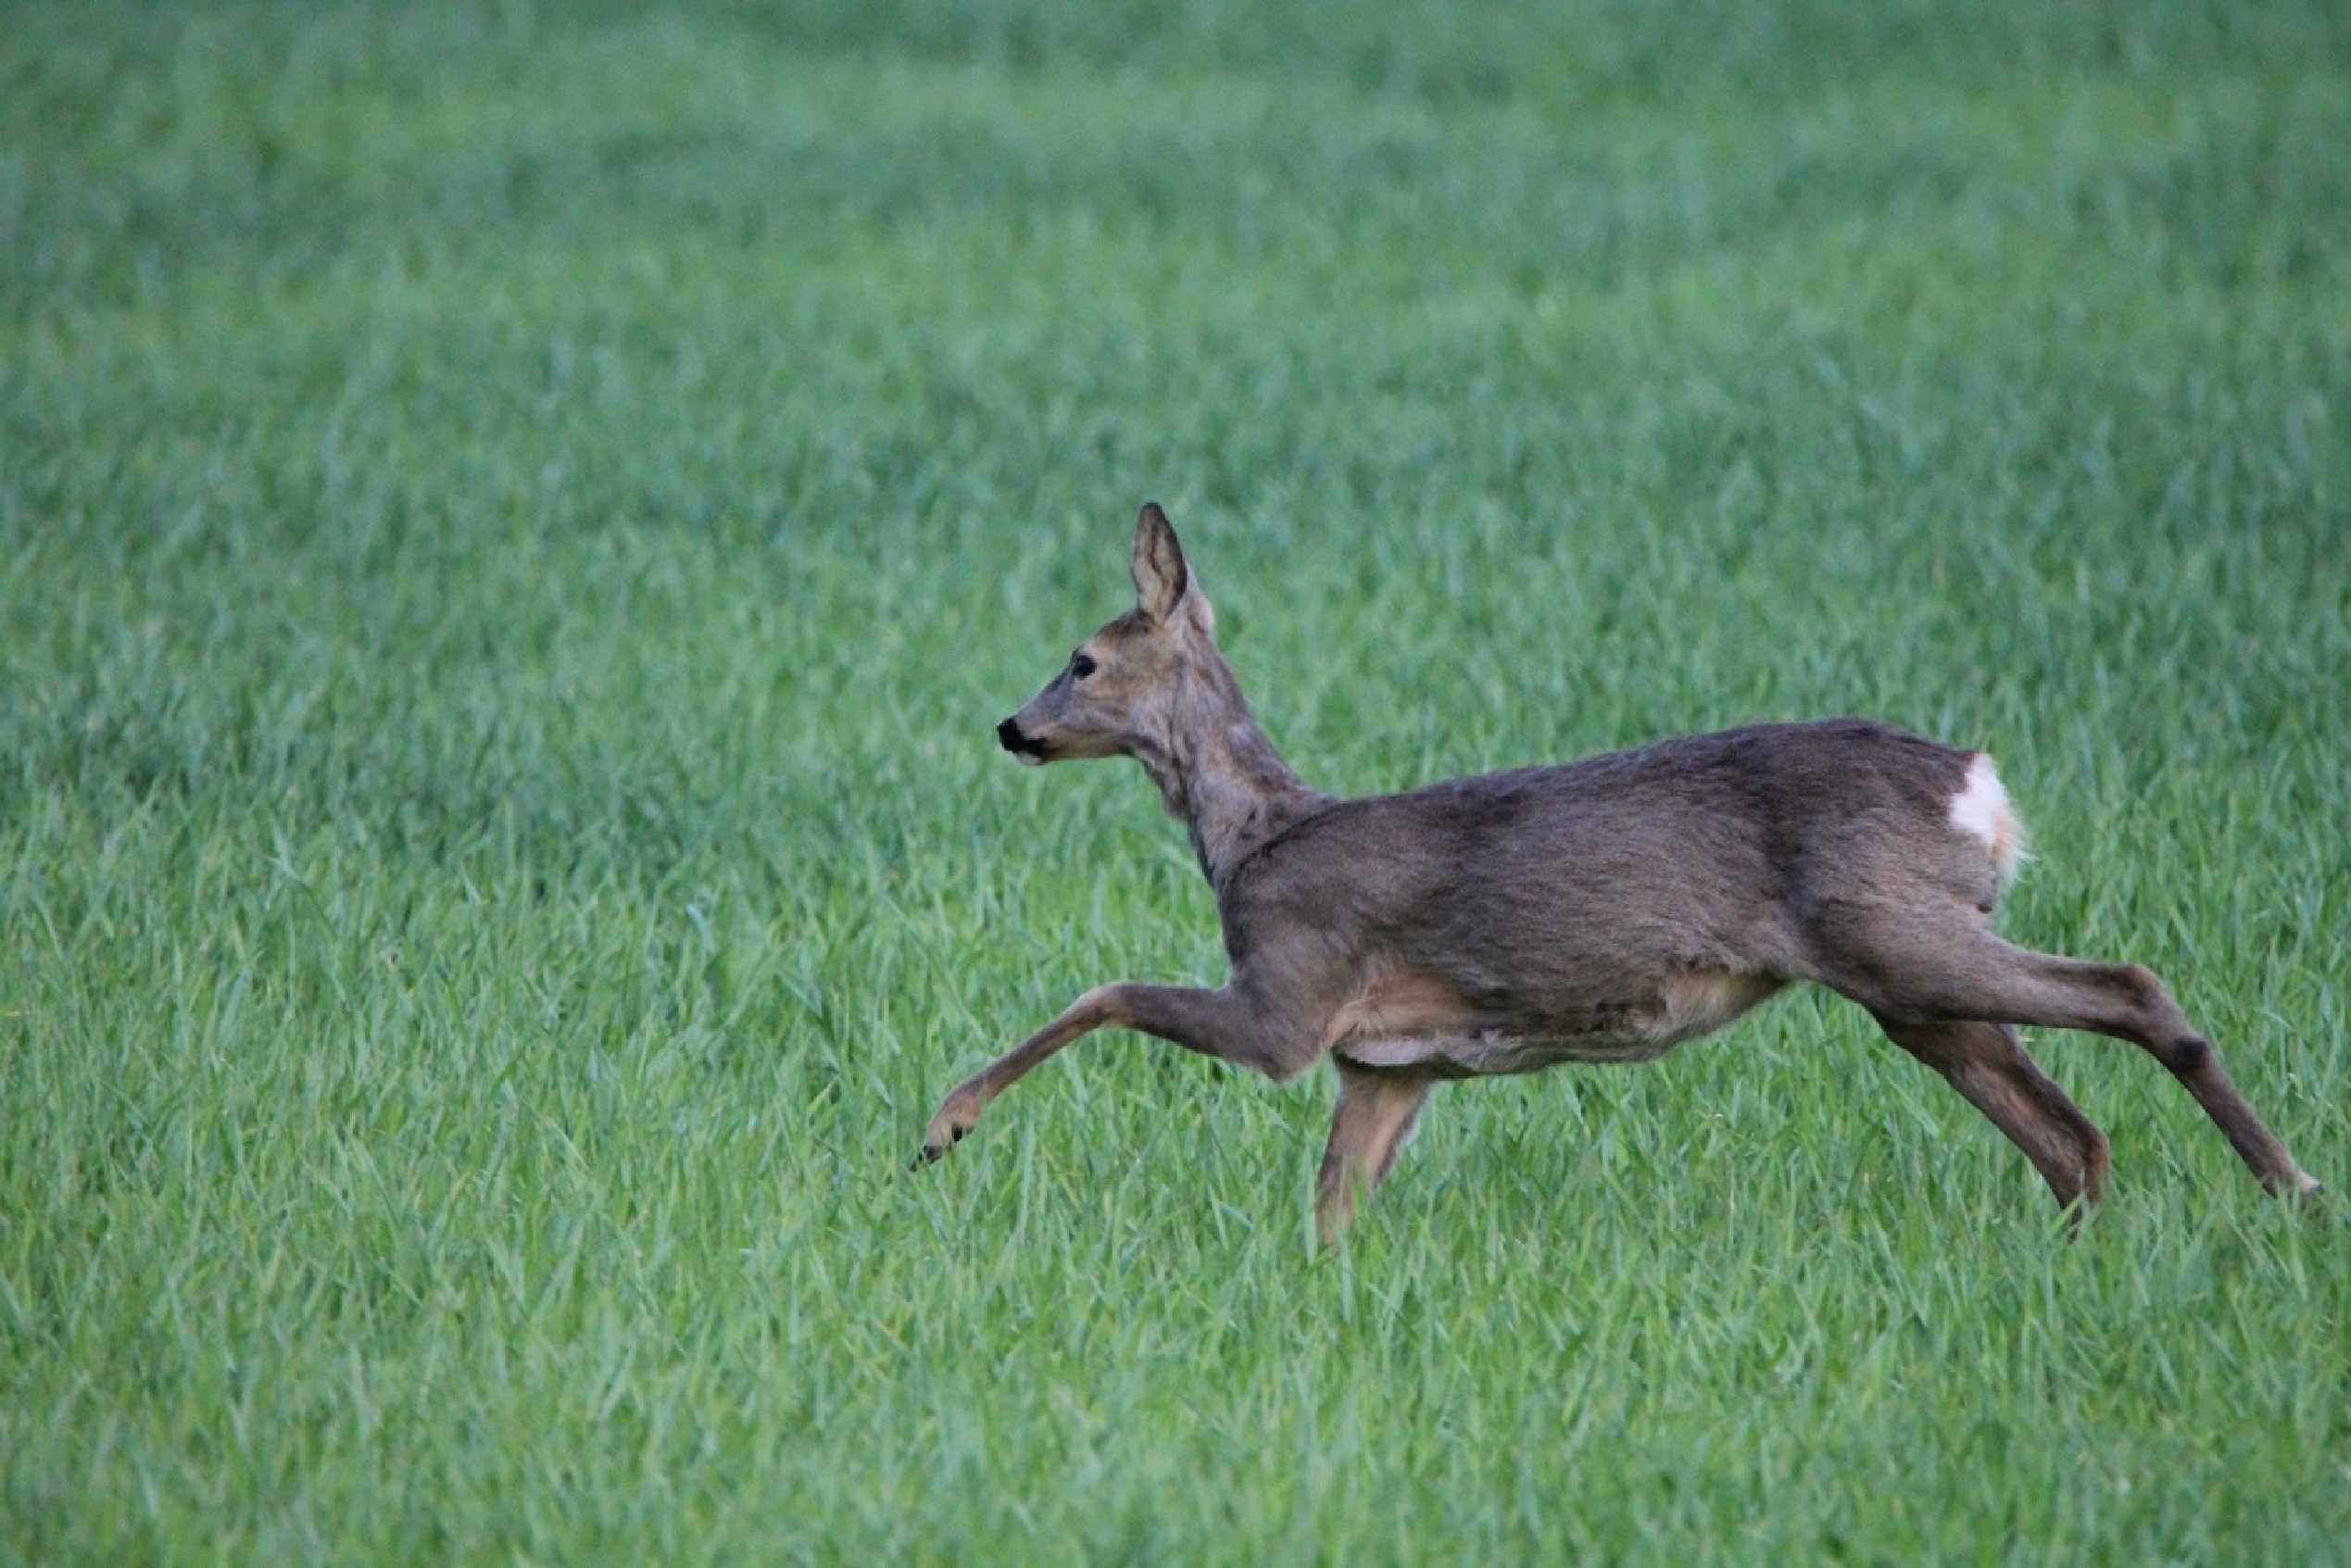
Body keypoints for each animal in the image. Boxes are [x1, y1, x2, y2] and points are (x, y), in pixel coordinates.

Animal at [911, 505, 2313, 1241]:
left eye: (1084, 659)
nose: (1012, 727)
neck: (1251, 838)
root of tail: (1979, 784)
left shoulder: (1288, 1000)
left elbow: (1102, 992)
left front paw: (943, 1123)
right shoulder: (1388, 1065)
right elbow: (1332, 1207)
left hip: (1892, 930)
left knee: (2132, 987)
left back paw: (2289, 1184)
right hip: (1903, 977)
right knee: (2069, 1130)